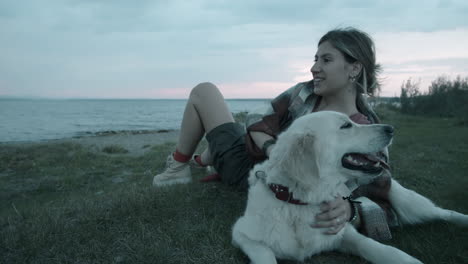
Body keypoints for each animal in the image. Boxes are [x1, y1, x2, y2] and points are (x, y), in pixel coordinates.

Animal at [231, 111, 468, 264]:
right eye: (346, 126)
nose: (391, 129)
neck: (300, 201)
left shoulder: (344, 232)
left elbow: (379, 248)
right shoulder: (243, 234)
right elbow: (266, 256)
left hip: (411, 207)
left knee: (443, 212)